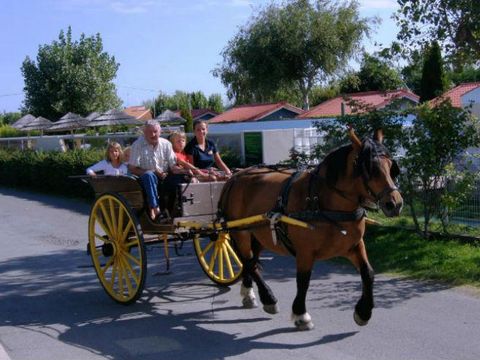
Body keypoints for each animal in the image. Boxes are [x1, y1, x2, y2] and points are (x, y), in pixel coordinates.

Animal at [219, 128, 404, 330]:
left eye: (390, 166)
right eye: (370, 169)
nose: (395, 203)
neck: (323, 202)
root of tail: (236, 176)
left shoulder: (354, 246)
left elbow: (368, 274)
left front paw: (363, 312)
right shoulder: (305, 252)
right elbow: (303, 281)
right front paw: (301, 314)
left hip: (260, 233)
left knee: (250, 261)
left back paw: (249, 292)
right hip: (240, 232)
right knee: (248, 262)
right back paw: (268, 298)